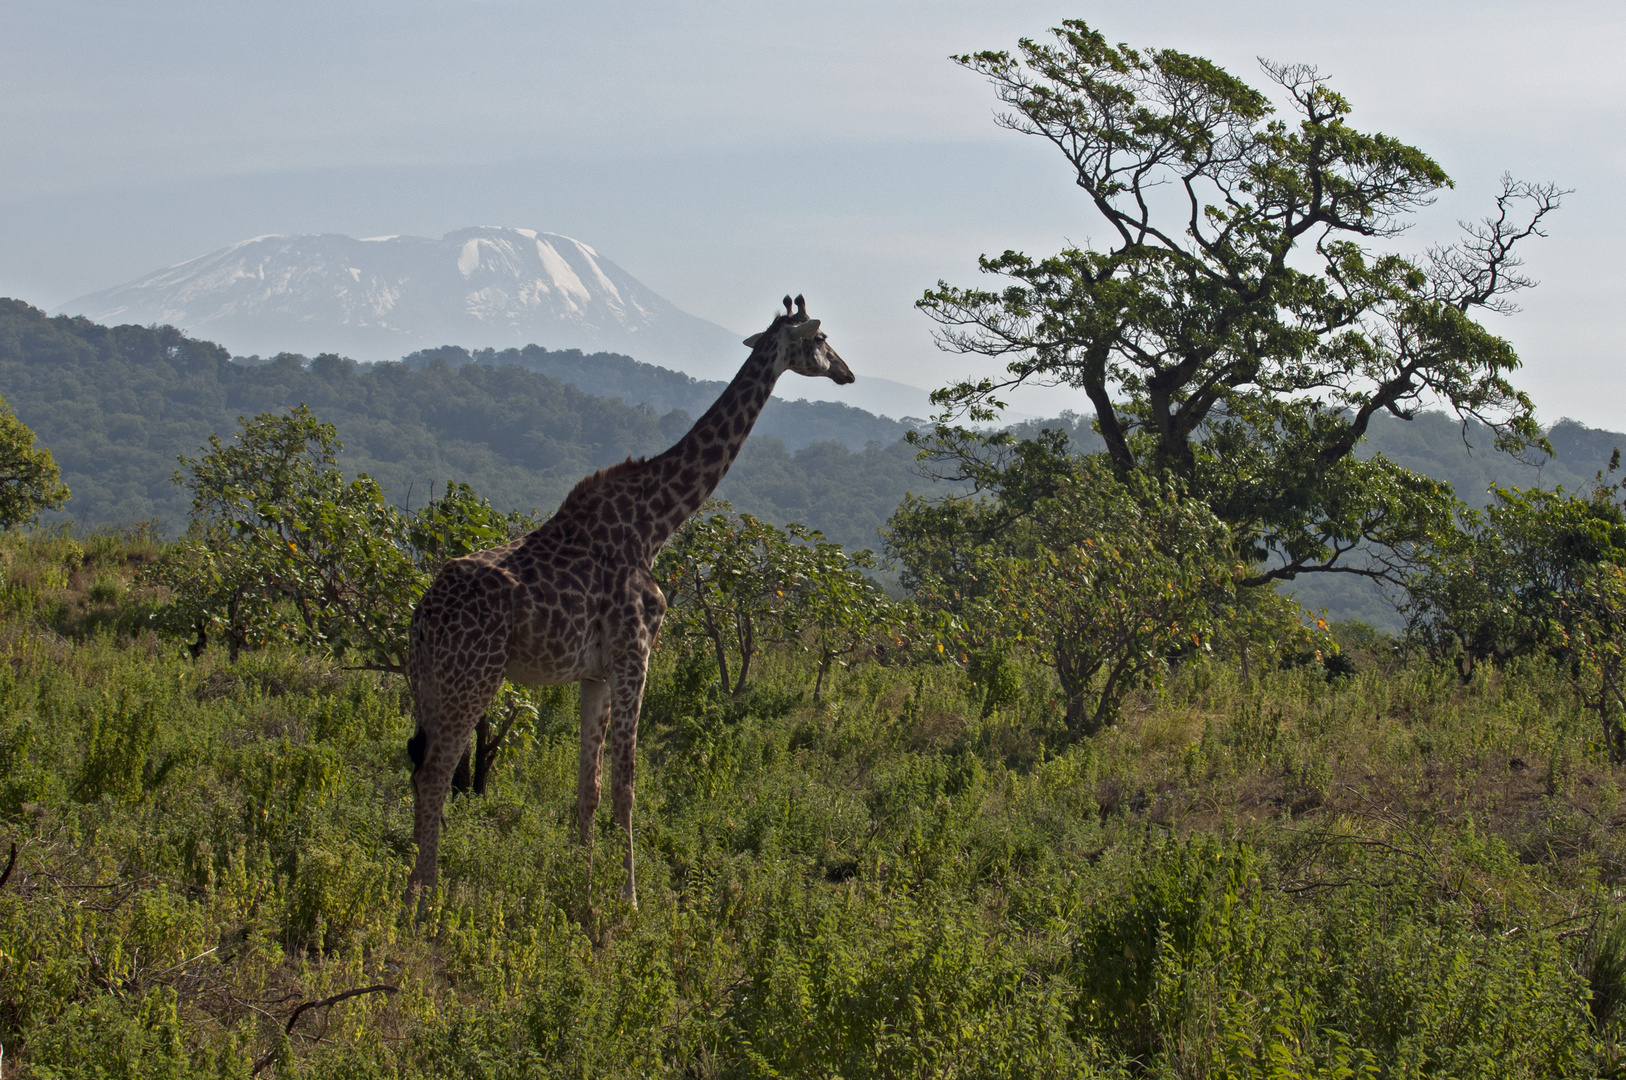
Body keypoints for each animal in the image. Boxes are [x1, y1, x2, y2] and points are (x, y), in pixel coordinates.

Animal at [406, 292, 858, 904]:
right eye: (821, 338)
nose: (847, 372)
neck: (655, 522)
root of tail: (423, 615)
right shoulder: (634, 654)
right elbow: (627, 787)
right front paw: (629, 901)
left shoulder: (594, 672)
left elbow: (589, 787)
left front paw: (581, 891)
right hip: (472, 676)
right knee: (435, 773)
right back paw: (425, 899)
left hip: (430, 681)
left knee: (419, 768)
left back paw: (412, 886)